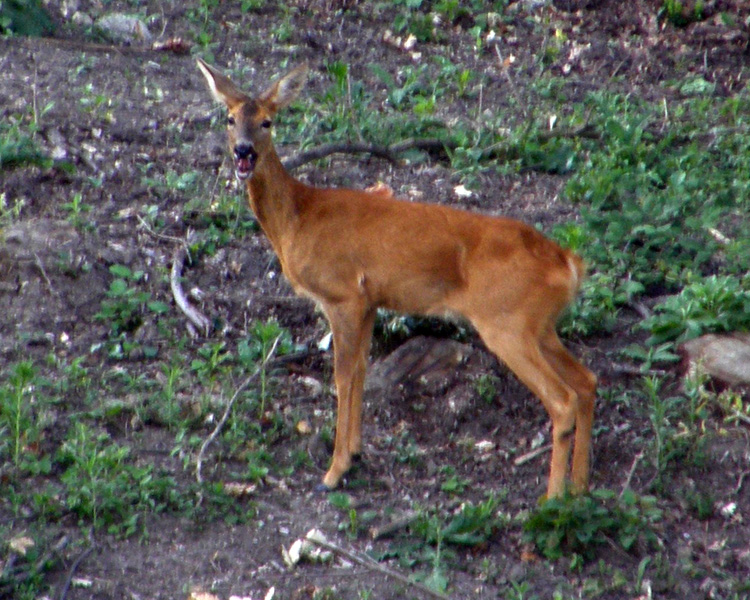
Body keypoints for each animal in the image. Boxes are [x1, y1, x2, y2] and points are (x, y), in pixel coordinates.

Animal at [198, 61, 600, 500]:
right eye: (230, 118)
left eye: (267, 121)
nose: (243, 151)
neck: (297, 220)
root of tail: (569, 264)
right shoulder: (370, 300)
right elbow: (360, 369)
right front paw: (355, 452)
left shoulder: (341, 294)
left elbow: (342, 375)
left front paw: (334, 471)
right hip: (539, 325)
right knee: (587, 383)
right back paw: (581, 487)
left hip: (506, 322)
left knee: (562, 400)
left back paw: (553, 499)